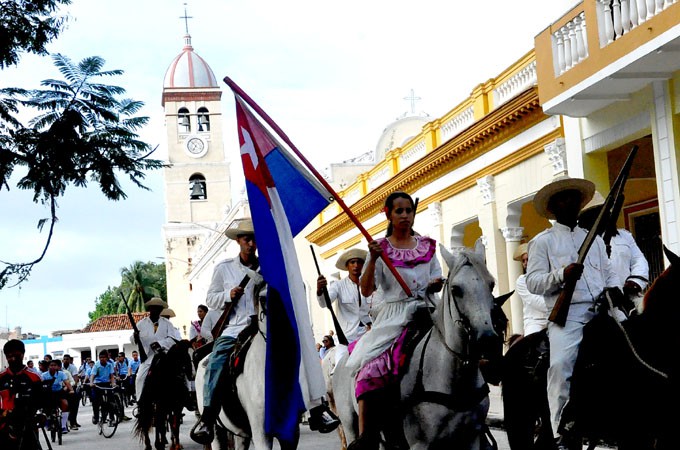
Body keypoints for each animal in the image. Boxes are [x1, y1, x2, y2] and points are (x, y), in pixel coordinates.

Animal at [332, 246, 508, 450]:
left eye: (491, 284)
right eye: (456, 289)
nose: (487, 339)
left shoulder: (471, 438)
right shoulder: (420, 443)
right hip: (350, 425)